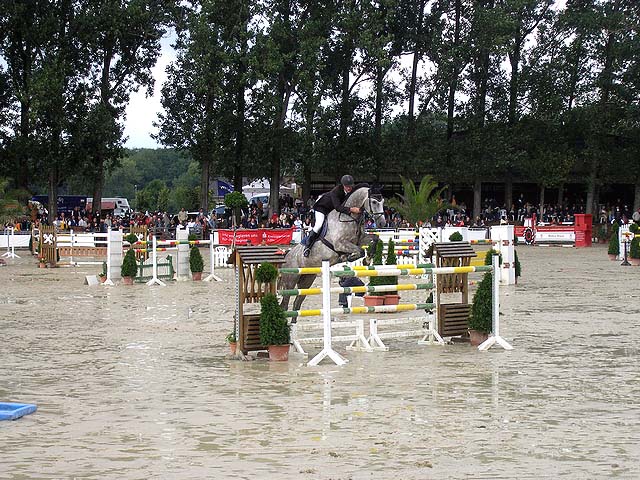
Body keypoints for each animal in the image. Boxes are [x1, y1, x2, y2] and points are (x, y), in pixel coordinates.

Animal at [280, 186, 384, 314]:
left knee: (297, 303)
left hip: (307, 280)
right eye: (374, 202)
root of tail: (287, 255)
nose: (382, 223)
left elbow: (375, 239)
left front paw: (367, 260)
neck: (349, 217)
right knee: (285, 304)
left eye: (383, 201)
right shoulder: (340, 244)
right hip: (290, 281)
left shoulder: (360, 240)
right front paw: (349, 257)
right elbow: (360, 251)